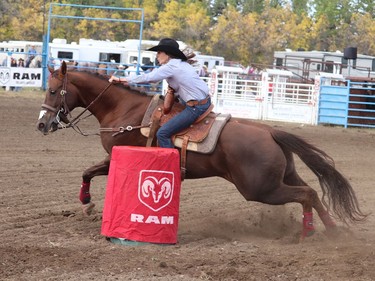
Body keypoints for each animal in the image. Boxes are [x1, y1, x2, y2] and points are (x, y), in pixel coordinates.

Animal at [36, 61, 368, 238]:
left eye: (52, 90)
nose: (41, 124)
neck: (125, 110)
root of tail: (270, 131)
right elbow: (88, 171)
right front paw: (90, 204)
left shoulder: (115, 156)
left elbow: (89, 171)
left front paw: (88, 203)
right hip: (283, 176)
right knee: (312, 192)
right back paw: (333, 231)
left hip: (260, 188)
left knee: (306, 194)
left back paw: (310, 232)